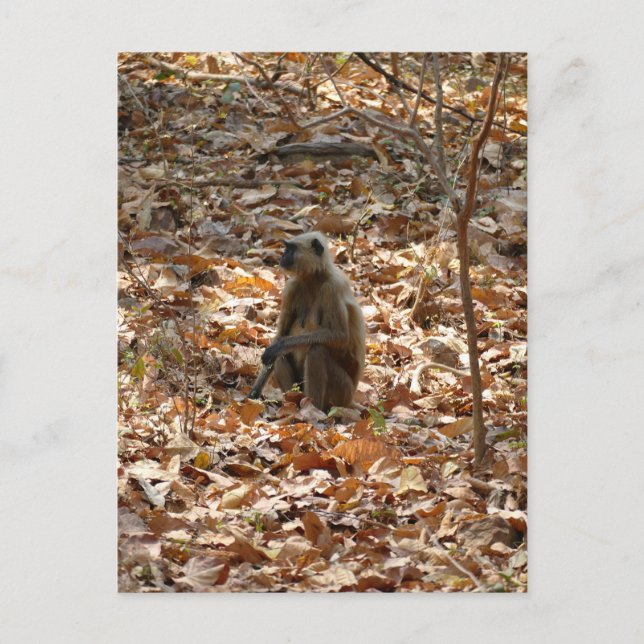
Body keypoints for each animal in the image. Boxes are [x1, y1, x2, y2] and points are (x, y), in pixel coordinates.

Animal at [249, 231, 365, 411]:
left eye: (290, 249)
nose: (283, 255)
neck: (314, 279)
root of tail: (350, 399)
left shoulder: (333, 287)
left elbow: (340, 336)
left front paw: (281, 345)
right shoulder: (291, 287)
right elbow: (280, 336)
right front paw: (254, 393)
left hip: (342, 393)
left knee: (316, 350)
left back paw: (311, 408)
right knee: (280, 355)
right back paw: (291, 401)